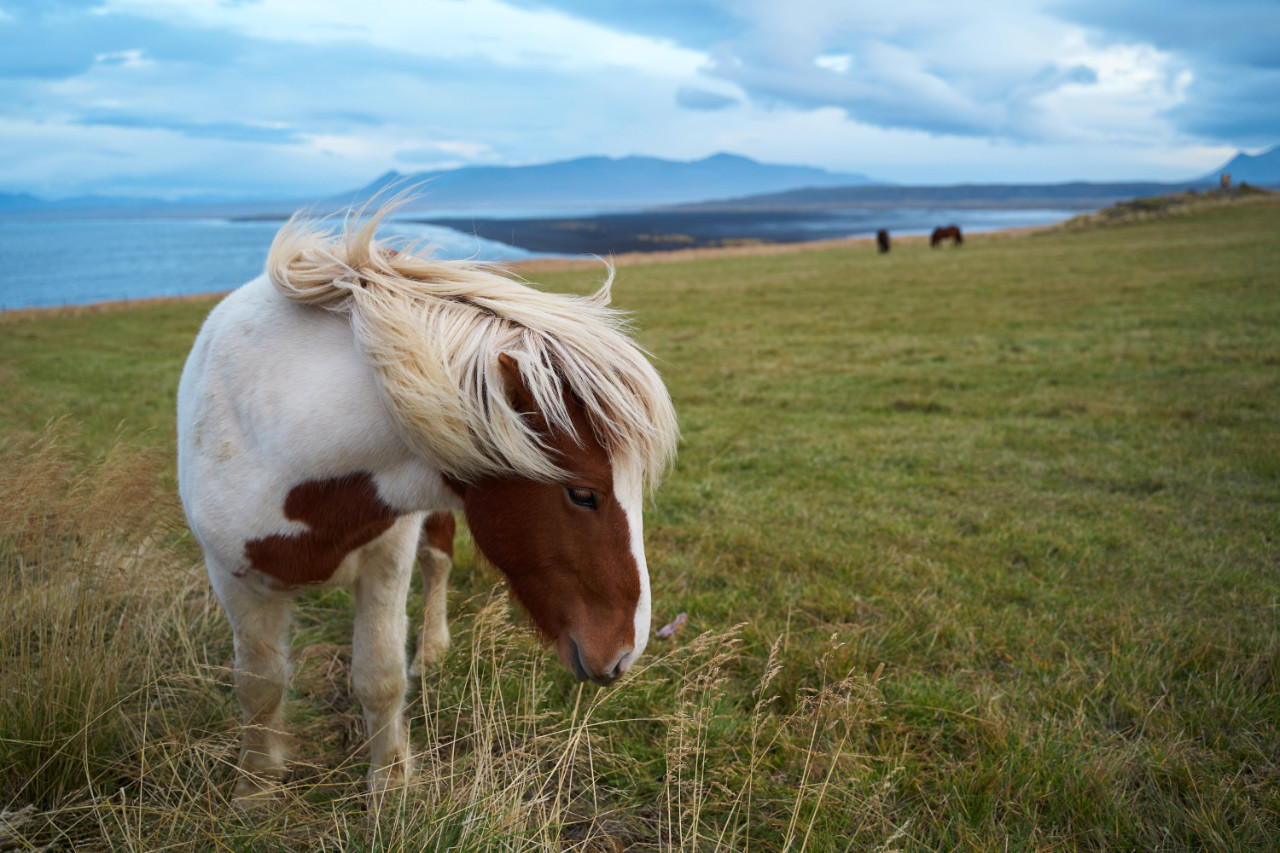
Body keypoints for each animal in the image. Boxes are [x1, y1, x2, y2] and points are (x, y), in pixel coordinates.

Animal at [176, 205, 679, 803]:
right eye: (583, 494)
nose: (626, 652)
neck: (280, 444)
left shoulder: (388, 556)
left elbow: (380, 675)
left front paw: (390, 783)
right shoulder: (233, 578)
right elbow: (259, 686)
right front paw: (255, 788)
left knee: (437, 563)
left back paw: (433, 647)